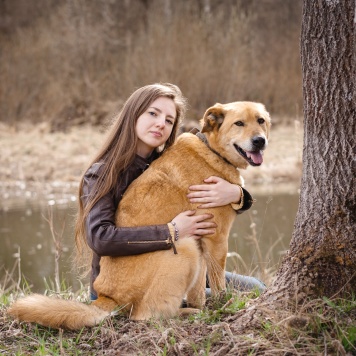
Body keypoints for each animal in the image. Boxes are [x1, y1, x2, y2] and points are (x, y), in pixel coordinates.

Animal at [8, 101, 270, 330]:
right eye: (239, 123)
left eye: (261, 121)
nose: (260, 141)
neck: (211, 150)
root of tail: (105, 297)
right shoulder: (216, 238)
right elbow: (217, 282)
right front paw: (224, 304)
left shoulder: (204, 242)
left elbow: (199, 289)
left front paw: (206, 306)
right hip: (185, 247)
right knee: (145, 315)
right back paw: (185, 312)